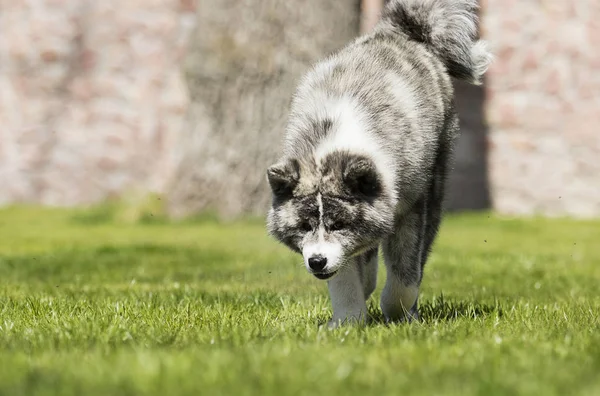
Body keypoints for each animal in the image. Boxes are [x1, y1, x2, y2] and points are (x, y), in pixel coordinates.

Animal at [264, 0, 490, 326]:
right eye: (304, 226)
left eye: (339, 224)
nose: (317, 262)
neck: (334, 144)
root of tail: (401, 31)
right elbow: (346, 275)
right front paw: (347, 321)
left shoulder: (410, 207)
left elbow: (404, 275)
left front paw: (398, 312)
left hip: (435, 187)